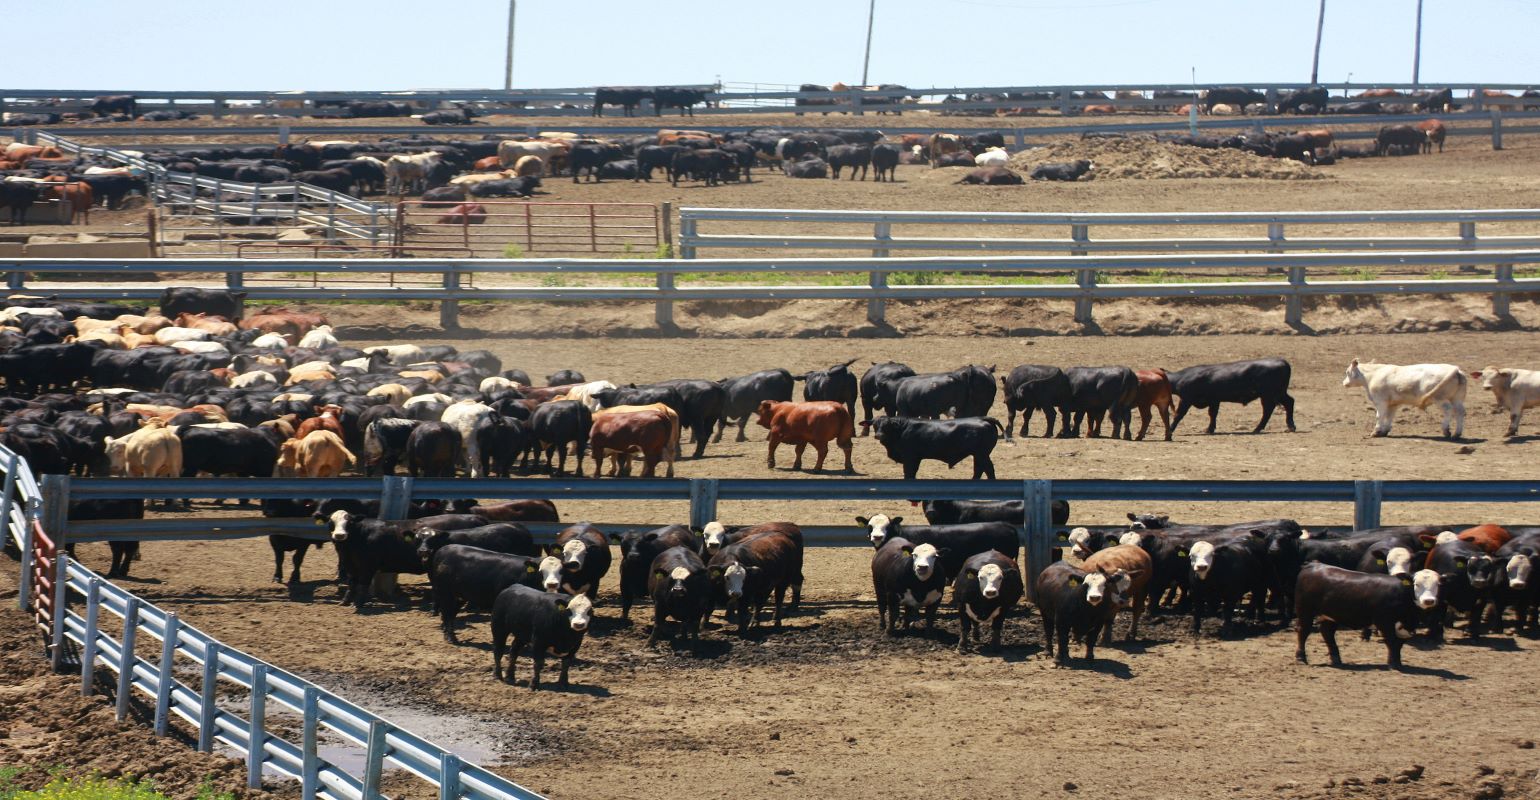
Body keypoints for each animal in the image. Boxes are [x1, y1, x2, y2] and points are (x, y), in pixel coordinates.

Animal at [874, 413, 1004, 480]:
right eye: (875, 425)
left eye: (887, 425)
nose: (878, 435)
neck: (902, 428)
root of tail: (982, 418)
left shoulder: (910, 457)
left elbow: (909, 472)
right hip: (978, 455)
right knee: (979, 469)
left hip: (982, 454)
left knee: (988, 469)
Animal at [1164, 359, 1299, 434]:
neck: (1181, 378)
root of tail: (1282, 362)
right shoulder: (1214, 400)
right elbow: (1212, 414)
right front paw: (1210, 429)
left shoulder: (1186, 399)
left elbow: (1178, 414)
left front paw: (1170, 429)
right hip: (1277, 394)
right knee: (1288, 403)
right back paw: (1289, 426)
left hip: (1270, 394)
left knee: (1269, 410)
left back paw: (1260, 428)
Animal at [1299, 564, 1441, 668]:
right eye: (1416, 584)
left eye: (1437, 585)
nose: (1429, 600)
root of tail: (1313, 566)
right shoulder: (1384, 622)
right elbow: (1391, 641)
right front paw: (1394, 664)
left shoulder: (1404, 627)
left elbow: (1399, 643)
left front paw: (1397, 662)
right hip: (1305, 610)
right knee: (1303, 631)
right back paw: (1300, 658)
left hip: (1330, 615)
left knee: (1327, 632)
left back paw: (1336, 659)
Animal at [1336, 362, 1466, 440]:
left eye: (1347, 372)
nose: (1343, 383)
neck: (1372, 376)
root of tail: (1455, 370)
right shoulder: (1393, 404)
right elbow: (1389, 416)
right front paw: (1384, 431)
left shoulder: (1380, 402)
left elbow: (1380, 416)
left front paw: (1376, 432)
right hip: (1457, 399)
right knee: (1460, 412)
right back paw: (1457, 433)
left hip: (1439, 398)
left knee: (1448, 410)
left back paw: (1446, 430)